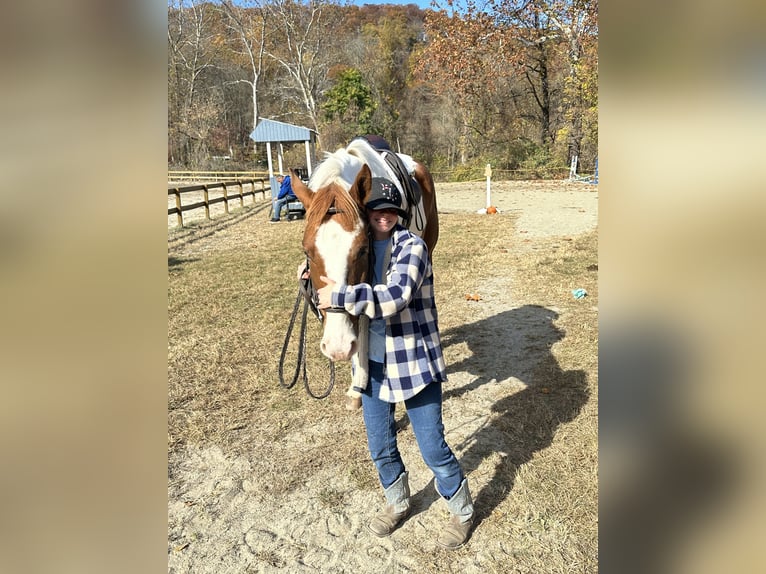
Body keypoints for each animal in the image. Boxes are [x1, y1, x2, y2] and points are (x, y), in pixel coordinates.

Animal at [292, 137, 440, 410]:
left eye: (362, 249)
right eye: (307, 251)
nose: (336, 346)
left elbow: (363, 324)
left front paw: (358, 386)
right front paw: (355, 385)